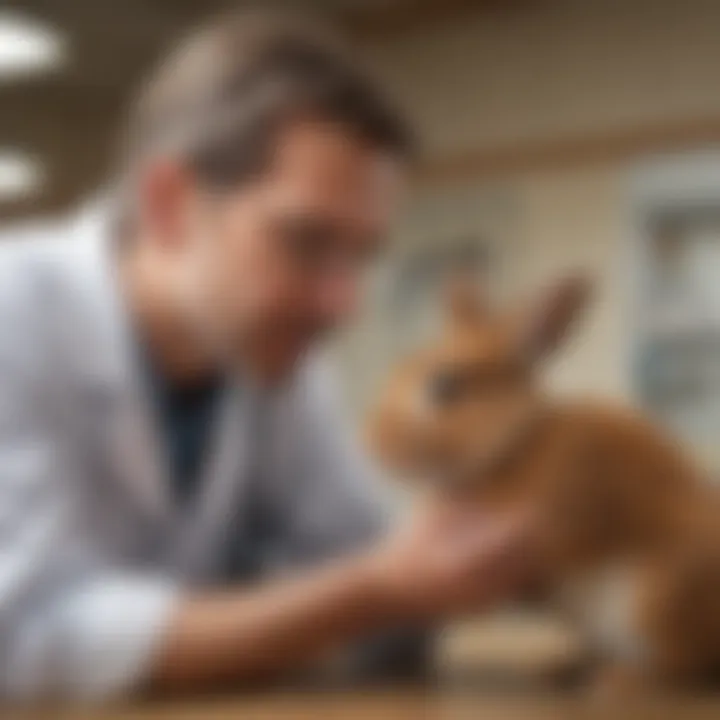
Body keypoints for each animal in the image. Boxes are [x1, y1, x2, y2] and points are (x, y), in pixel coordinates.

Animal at [368, 272, 720, 696]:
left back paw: (617, 681)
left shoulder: (566, 518)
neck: (514, 447)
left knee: (685, 668)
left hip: (658, 600)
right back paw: (557, 669)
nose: (375, 444)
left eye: (445, 385)